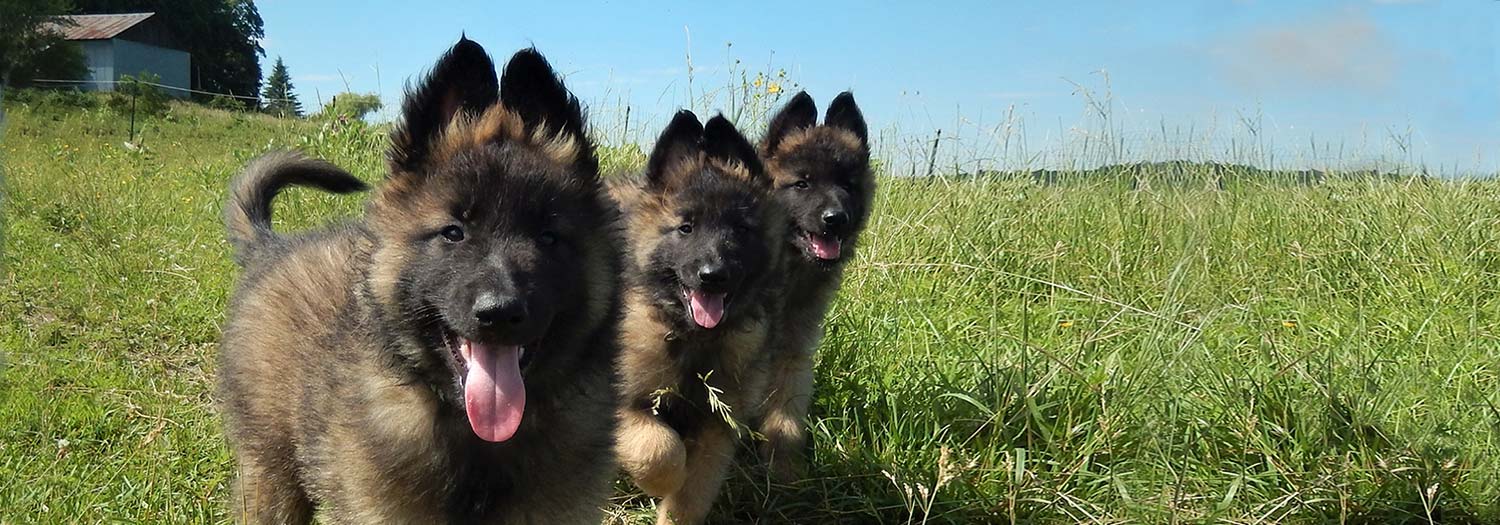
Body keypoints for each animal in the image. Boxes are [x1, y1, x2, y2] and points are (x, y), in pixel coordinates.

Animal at [214, 39, 618, 522]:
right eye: (453, 232)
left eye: (548, 237)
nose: (499, 313)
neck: (479, 440)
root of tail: (269, 246)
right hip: (271, 475)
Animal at [612, 109, 792, 522]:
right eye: (686, 228)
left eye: (740, 229)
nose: (713, 275)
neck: (694, 338)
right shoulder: (624, 404)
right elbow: (660, 450)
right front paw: (659, 482)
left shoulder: (717, 428)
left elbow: (692, 494)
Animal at [756, 91, 876, 480]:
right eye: (802, 183)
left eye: (848, 185)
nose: (836, 219)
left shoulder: (793, 354)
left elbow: (786, 417)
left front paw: (784, 470)